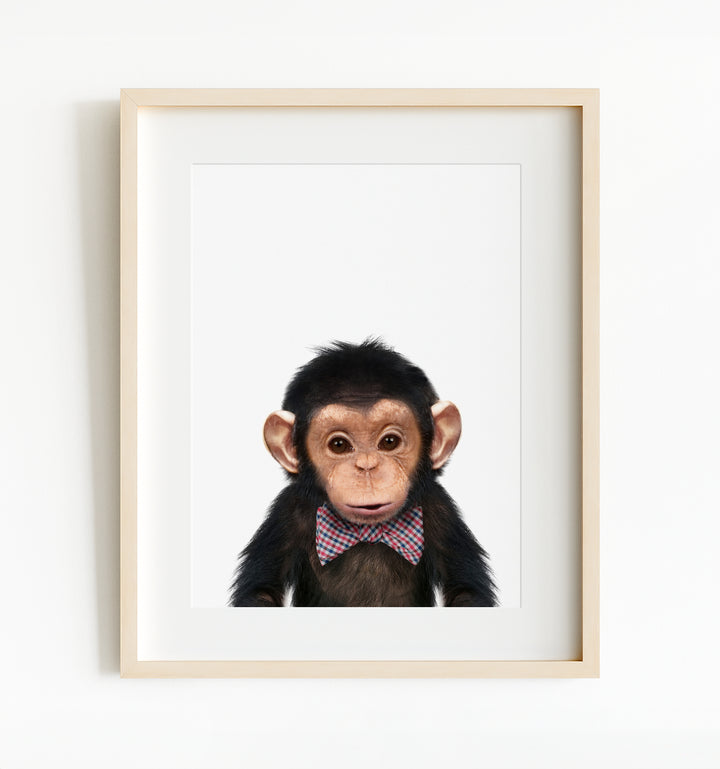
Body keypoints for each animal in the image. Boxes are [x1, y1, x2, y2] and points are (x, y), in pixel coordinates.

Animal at [229, 339, 497, 607]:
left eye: (389, 442)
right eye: (339, 445)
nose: (367, 467)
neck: (366, 532)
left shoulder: (441, 511)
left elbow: (465, 590)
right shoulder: (286, 513)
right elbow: (262, 590)